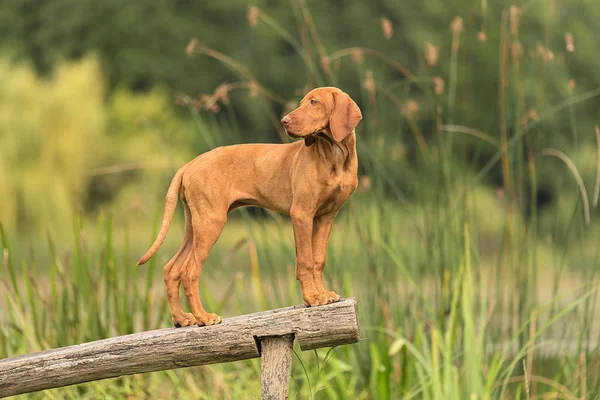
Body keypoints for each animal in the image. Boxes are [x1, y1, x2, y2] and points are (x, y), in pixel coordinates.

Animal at [136, 86, 360, 326]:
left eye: (314, 102)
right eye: (304, 102)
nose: (284, 121)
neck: (334, 155)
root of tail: (189, 164)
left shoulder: (325, 217)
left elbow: (318, 260)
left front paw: (322, 294)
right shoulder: (301, 214)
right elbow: (306, 260)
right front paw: (311, 298)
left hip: (194, 226)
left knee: (171, 269)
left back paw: (182, 318)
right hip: (211, 223)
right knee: (189, 272)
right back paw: (204, 317)